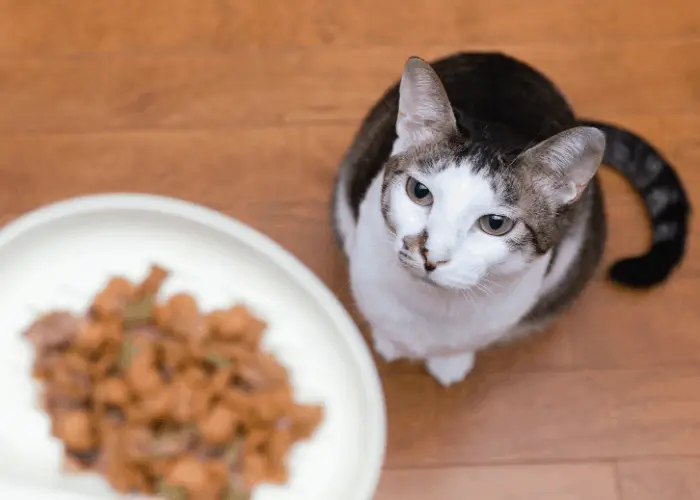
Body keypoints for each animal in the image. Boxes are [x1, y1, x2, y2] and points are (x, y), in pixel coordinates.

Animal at [332, 51, 688, 386]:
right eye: (419, 191)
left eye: (495, 224)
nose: (431, 256)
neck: (432, 306)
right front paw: (389, 343)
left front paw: (449, 362)